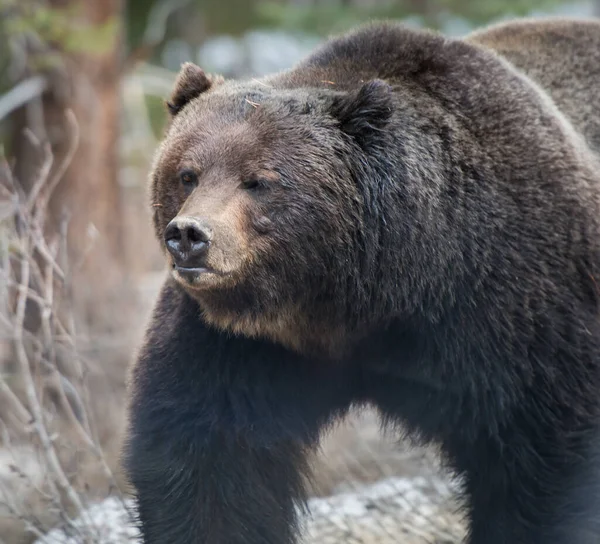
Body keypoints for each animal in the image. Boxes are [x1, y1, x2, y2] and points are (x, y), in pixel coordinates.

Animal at [123, 17, 600, 544]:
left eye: (259, 180)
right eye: (187, 173)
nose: (190, 236)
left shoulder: (517, 306)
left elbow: (542, 461)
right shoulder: (239, 341)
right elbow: (211, 456)